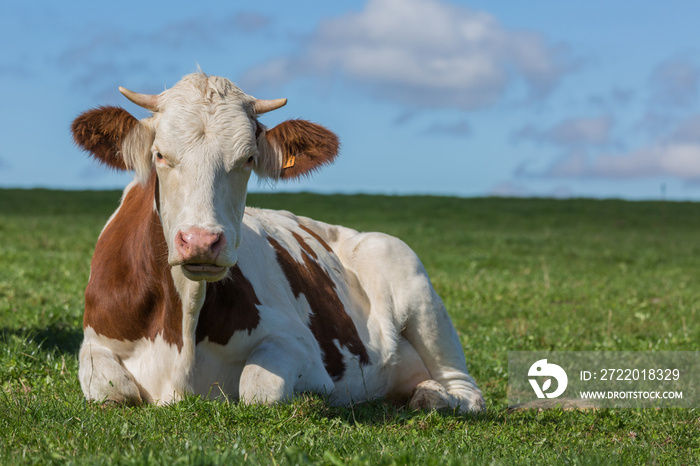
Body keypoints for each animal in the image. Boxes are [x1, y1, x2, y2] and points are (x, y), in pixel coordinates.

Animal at [72, 71, 486, 414]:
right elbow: (112, 390)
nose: (202, 241)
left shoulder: (301, 346)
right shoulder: (95, 339)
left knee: (466, 390)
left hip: (407, 274)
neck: (183, 326)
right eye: (159, 154)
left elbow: (259, 389)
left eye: (247, 159)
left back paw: (434, 396)